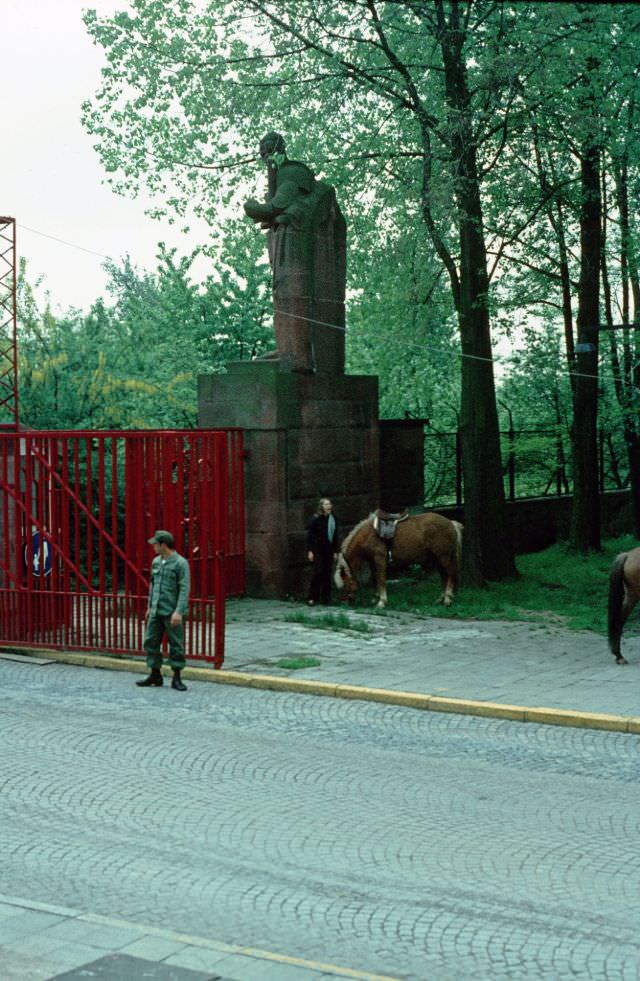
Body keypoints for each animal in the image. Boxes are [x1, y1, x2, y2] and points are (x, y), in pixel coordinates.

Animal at [332, 512, 462, 604]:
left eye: (345, 584)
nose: (343, 602)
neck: (368, 534)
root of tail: (451, 523)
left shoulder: (380, 559)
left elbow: (381, 579)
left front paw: (382, 601)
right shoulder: (372, 561)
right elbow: (375, 578)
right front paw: (375, 598)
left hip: (443, 556)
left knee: (450, 573)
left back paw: (448, 598)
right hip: (436, 558)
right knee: (444, 575)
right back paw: (441, 598)